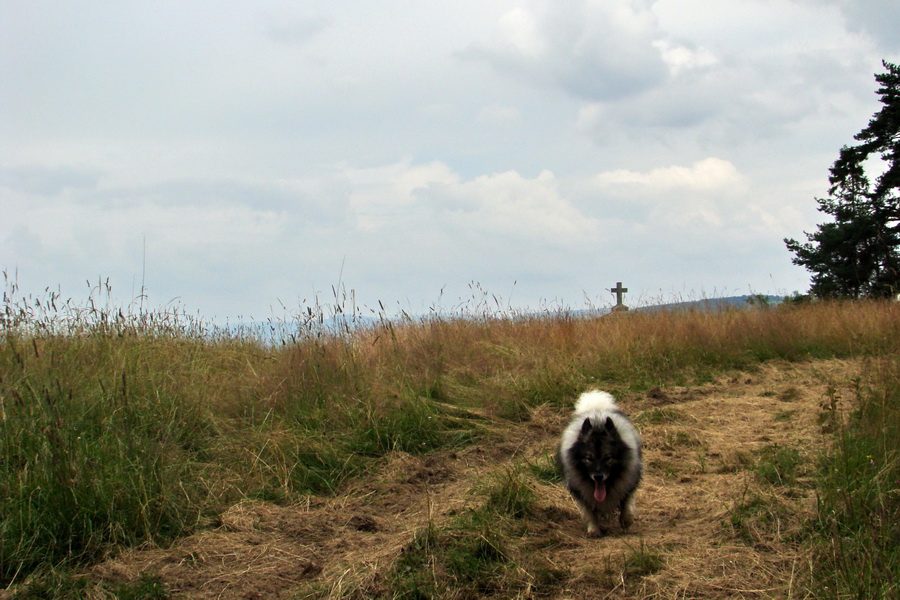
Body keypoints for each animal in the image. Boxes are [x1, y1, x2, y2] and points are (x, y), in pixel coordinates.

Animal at [556, 392, 640, 536]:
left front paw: (626, 522)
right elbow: (590, 513)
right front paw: (594, 529)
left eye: (608, 458)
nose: (598, 476)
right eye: (589, 458)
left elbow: (627, 506)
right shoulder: (580, 492)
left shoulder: (629, 484)